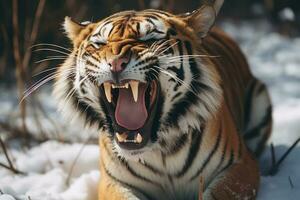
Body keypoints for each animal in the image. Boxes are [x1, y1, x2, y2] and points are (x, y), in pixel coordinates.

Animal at [53, 0, 272, 199]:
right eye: (100, 44)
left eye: (149, 39)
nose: (115, 62)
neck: (160, 152)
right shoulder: (113, 181)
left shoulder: (240, 165)